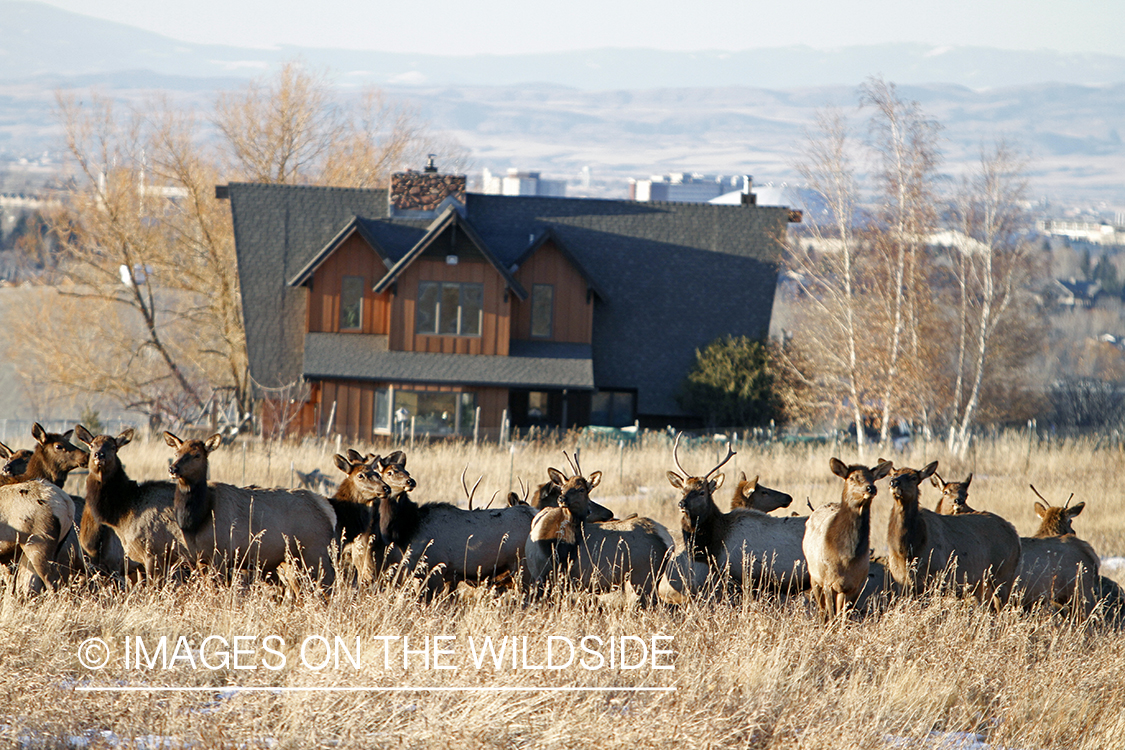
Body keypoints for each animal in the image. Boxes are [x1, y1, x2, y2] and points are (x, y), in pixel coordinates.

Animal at [802, 457, 893, 619]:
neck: (846, 556)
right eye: (851, 478)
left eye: (873, 478)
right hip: (814, 576)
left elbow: (843, 616)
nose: (871, 488)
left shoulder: (856, 584)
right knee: (822, 610)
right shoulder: (828, 581)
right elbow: (832, 615)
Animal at [885, 460, 1021, 607]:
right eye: (894, 474)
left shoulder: (935, 577)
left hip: (1003, 574)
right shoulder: (901, 580)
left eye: (914, 477)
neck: (908, 549)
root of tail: (1015, 534)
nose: (894, 482)